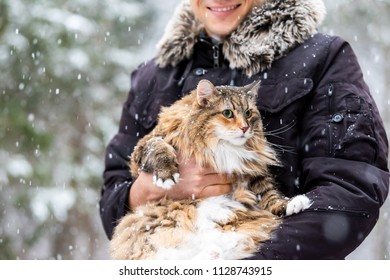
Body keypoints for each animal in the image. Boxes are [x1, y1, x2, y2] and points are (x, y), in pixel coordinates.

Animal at [109, 79, 310, 260]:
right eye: (228, 113)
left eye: (248, 113)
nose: (245, 128)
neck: (222, 146)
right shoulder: (143, 148)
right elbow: (157, 146)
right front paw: (167, 174)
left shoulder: (253, 172)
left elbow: (269, 195)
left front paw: (289, 204)